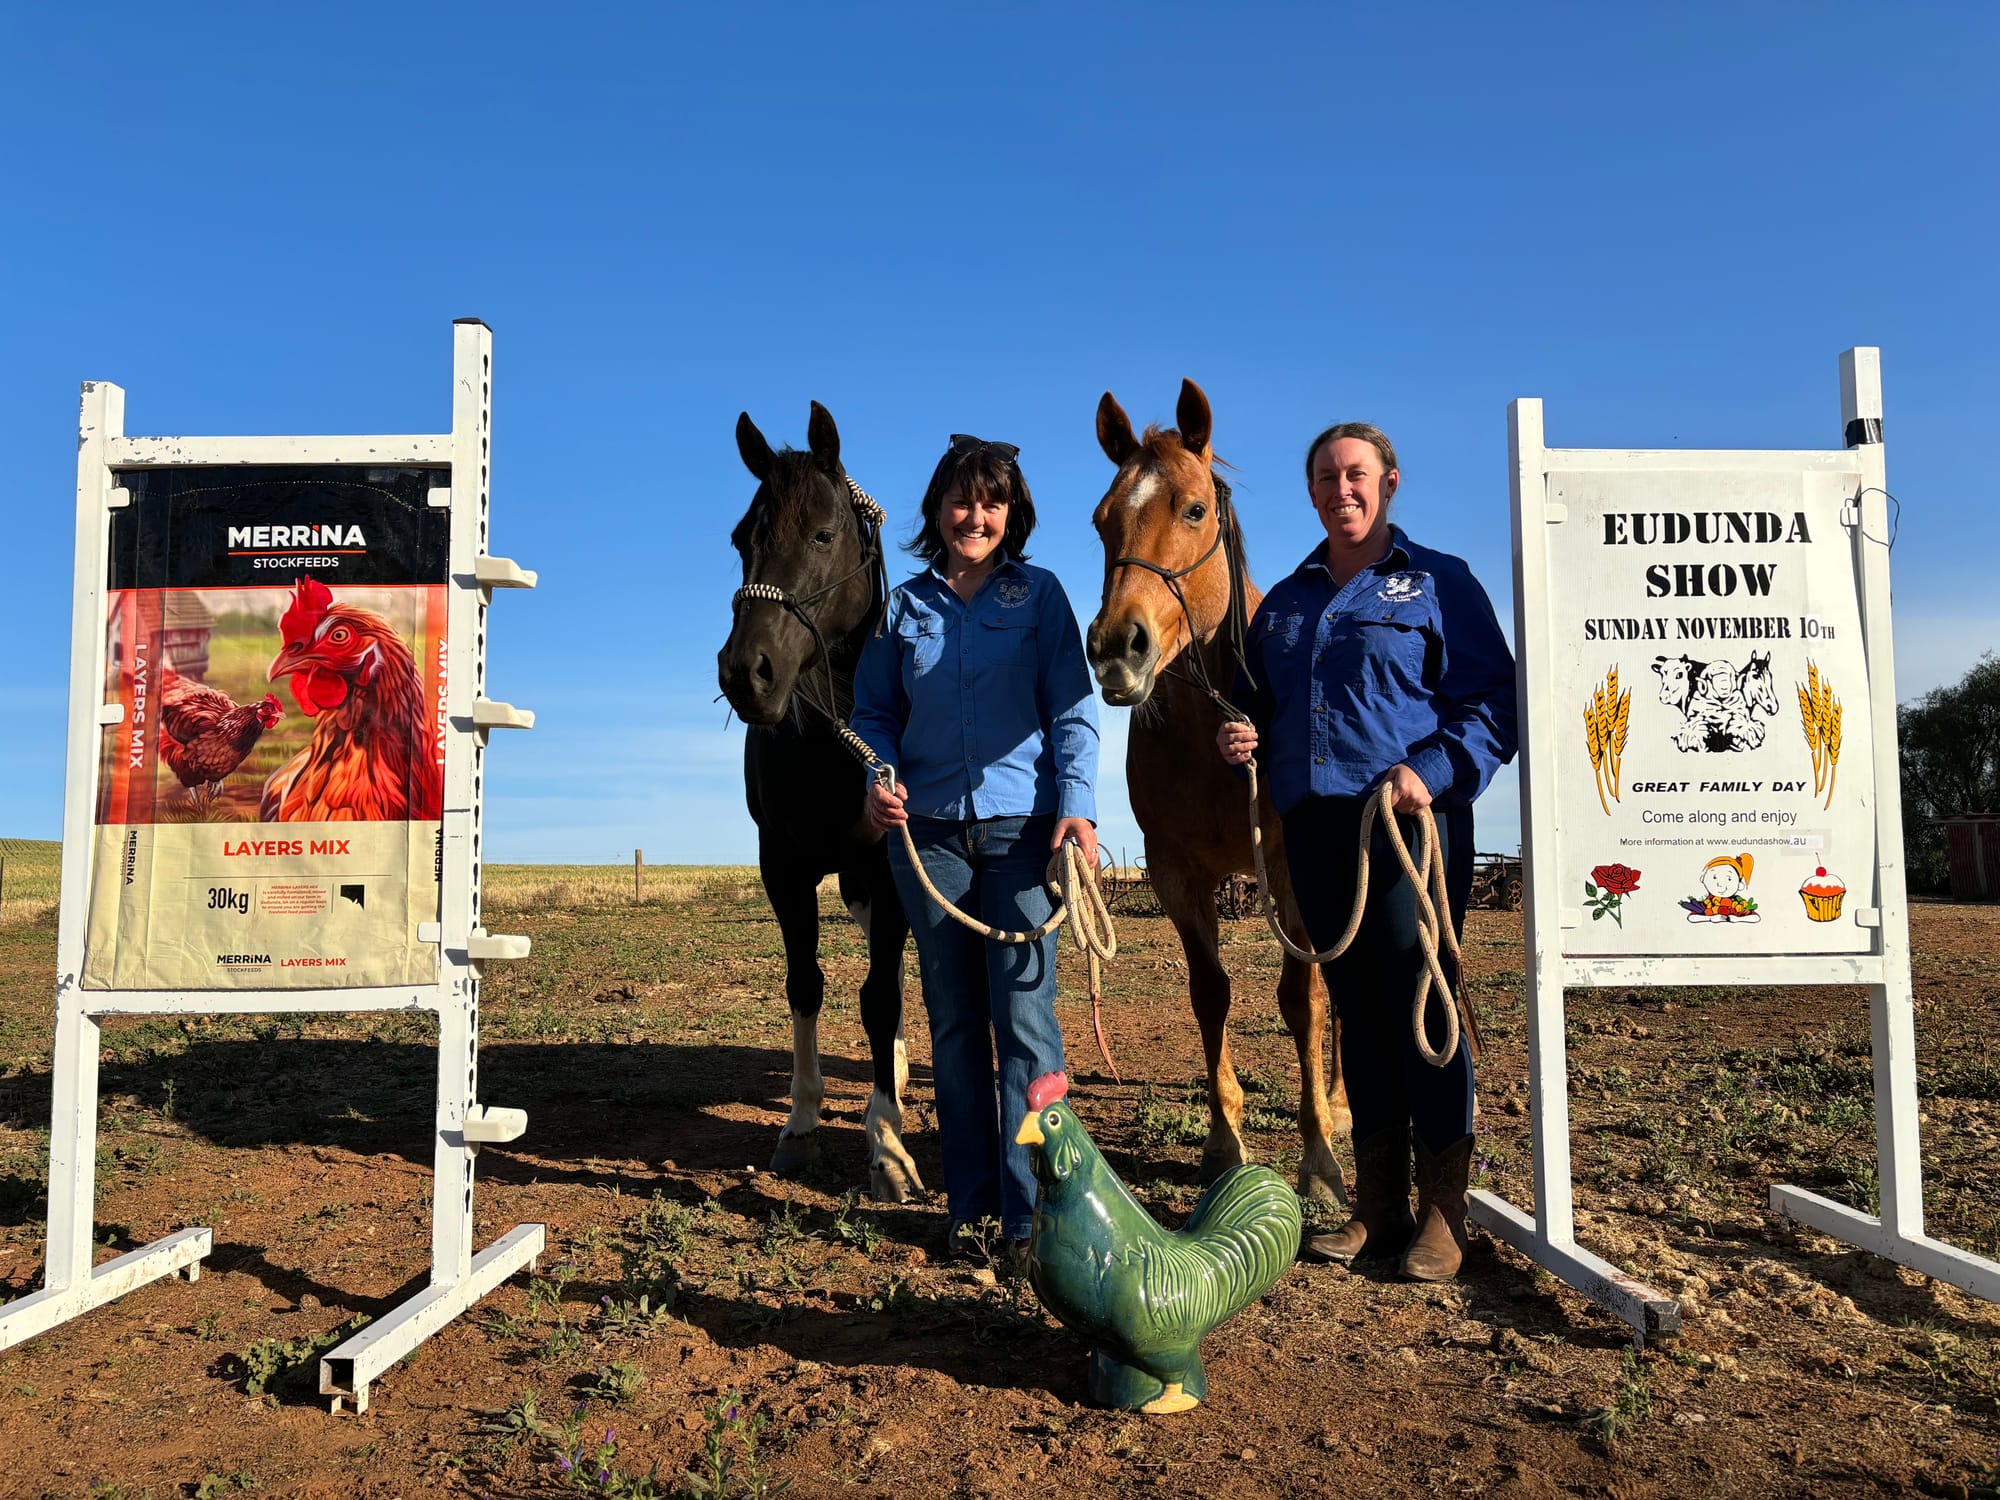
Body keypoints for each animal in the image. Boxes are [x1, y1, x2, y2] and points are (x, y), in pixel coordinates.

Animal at [716, 401, 923, 1202]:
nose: (748, 672)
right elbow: (806, 983)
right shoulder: (786, 865)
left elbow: (879, 996)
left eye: (824, 534)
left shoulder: (892, 868)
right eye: (741, 537)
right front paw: (800, 1126)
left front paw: (887, 1146)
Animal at [1083, 378, 1348, 1205]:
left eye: (1194, 509)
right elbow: (1211, 994)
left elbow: (1303, 1000)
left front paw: (1319, 1154)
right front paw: (1225, 1142)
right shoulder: (1178, 875)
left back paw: (1342, 1105)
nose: (1116, 647)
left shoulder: (1295, 873)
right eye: (1103, 519)